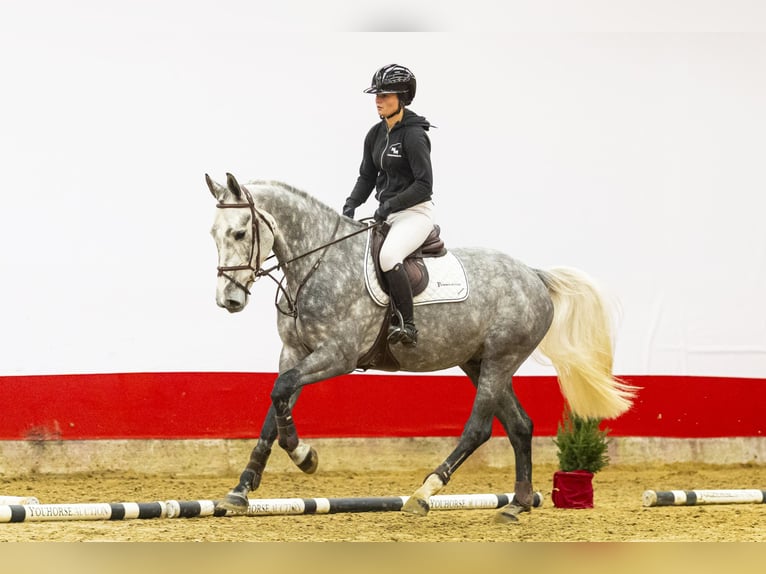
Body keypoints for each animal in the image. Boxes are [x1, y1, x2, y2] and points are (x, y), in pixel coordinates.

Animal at [206, 172, 636, 523]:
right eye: (213, 234)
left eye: (240, 233)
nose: (229, 300)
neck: (318, 264)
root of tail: (533, 275)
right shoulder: (294, 353)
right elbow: (274, 408)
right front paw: (240, 491)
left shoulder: (337, 356)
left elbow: (281, 393)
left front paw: (304, 456)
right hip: (478, 362)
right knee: (520, 425)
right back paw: (516, 504)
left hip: (500, 359)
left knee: (479, 429)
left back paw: (425, 492)